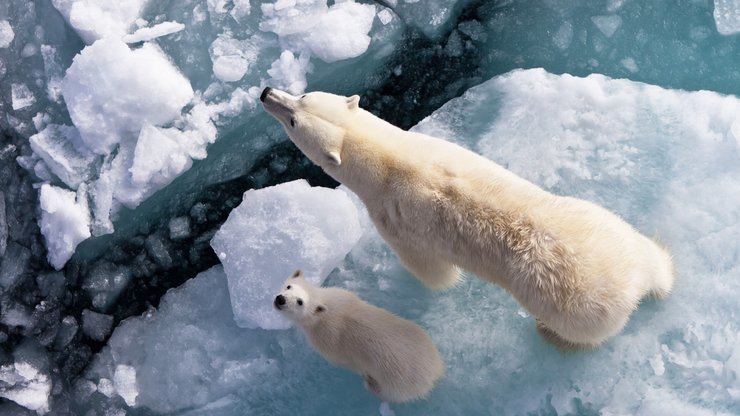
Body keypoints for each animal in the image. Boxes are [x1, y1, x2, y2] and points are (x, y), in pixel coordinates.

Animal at [262, 88, 676, 352]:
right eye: (303, 97)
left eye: (295, 117)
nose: (266, 92)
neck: (390, 160)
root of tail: (632, 283)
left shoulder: (394, 219)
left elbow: (431, 270)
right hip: (606, 224)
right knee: (652, 255)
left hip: (575, 306)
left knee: (581, 331)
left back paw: (550, 334)